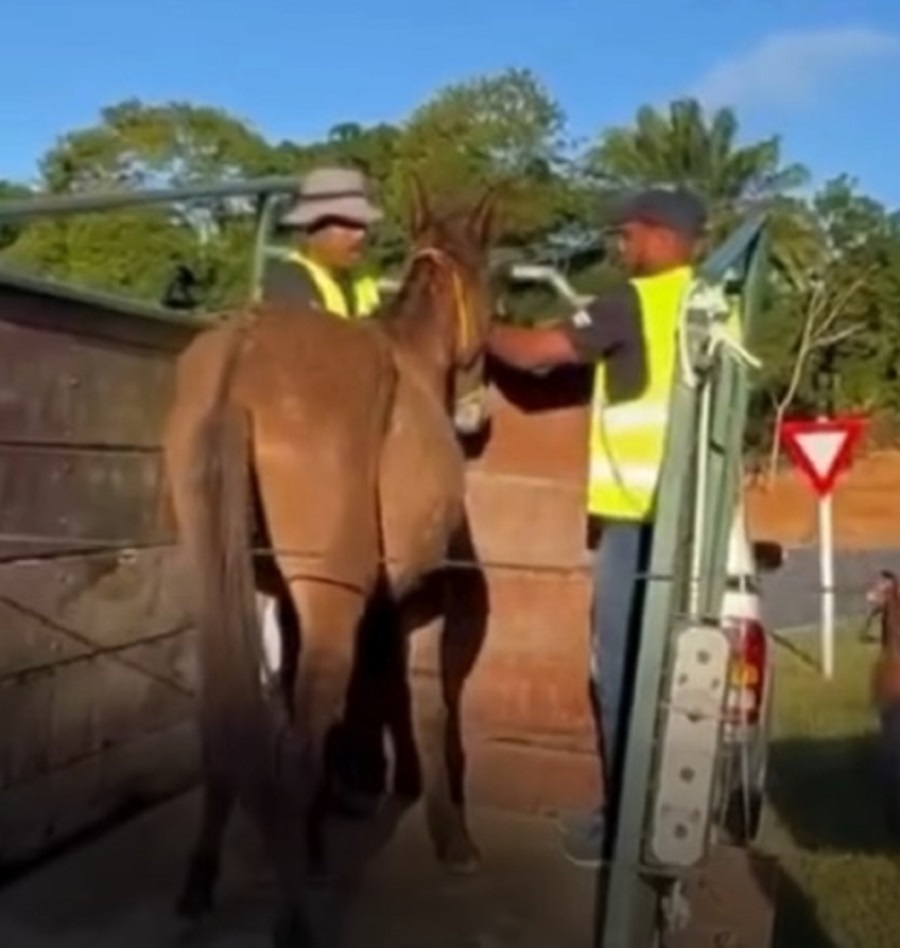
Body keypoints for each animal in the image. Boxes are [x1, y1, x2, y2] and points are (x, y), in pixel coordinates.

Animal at [161, 179, 501, 946]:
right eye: (494, 296)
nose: (475, 413)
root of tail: (240, 365)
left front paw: (321, 835)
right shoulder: (419, 598)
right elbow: (428, 706)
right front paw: (453, 837)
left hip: (219, 581)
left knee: (226, 721)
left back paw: (202, 879)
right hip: (329, 595)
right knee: (295, 745)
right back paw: (294, 917)